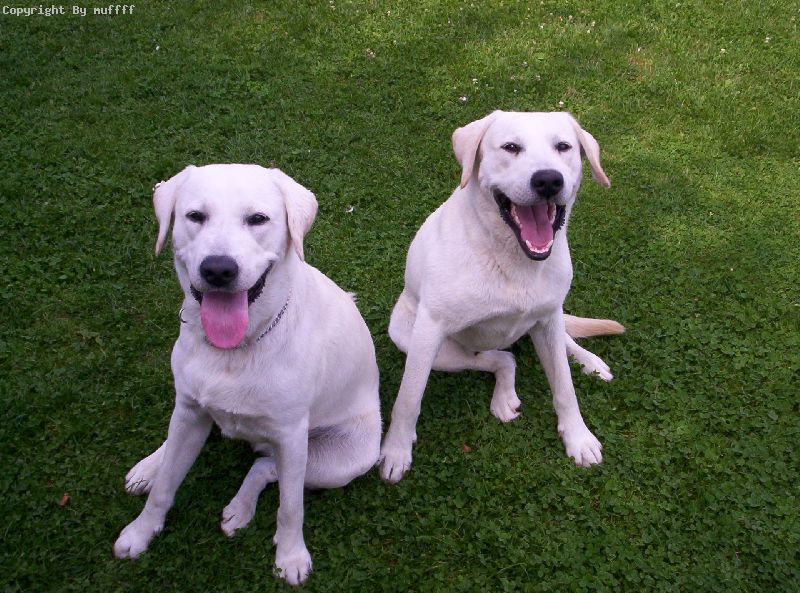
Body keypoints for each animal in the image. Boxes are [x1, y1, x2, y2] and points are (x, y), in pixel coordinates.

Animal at [113, 164, 381, 585]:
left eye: (257, 219)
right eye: (195, 216)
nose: (218, 269)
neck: (234, 350)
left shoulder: (291, 436)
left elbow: (290, 506)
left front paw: (291, 555)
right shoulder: (190, 412)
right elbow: (164, 487)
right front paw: (140, 533)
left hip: (340, 460)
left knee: (267, 467)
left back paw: (240, 508)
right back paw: (150, 467)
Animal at [378, 111, 624, 483]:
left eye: (563, 147)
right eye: (510, 147)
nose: (548, 181)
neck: (513, 259)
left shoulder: (548, 318)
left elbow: (564, 386)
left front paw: (578, 437)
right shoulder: (428, 331)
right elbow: (408, 398)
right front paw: (395, 450)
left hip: (547, 321)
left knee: (557, 341)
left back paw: (588, 361)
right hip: (421, 341)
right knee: (501, 359)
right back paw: (504, 395)